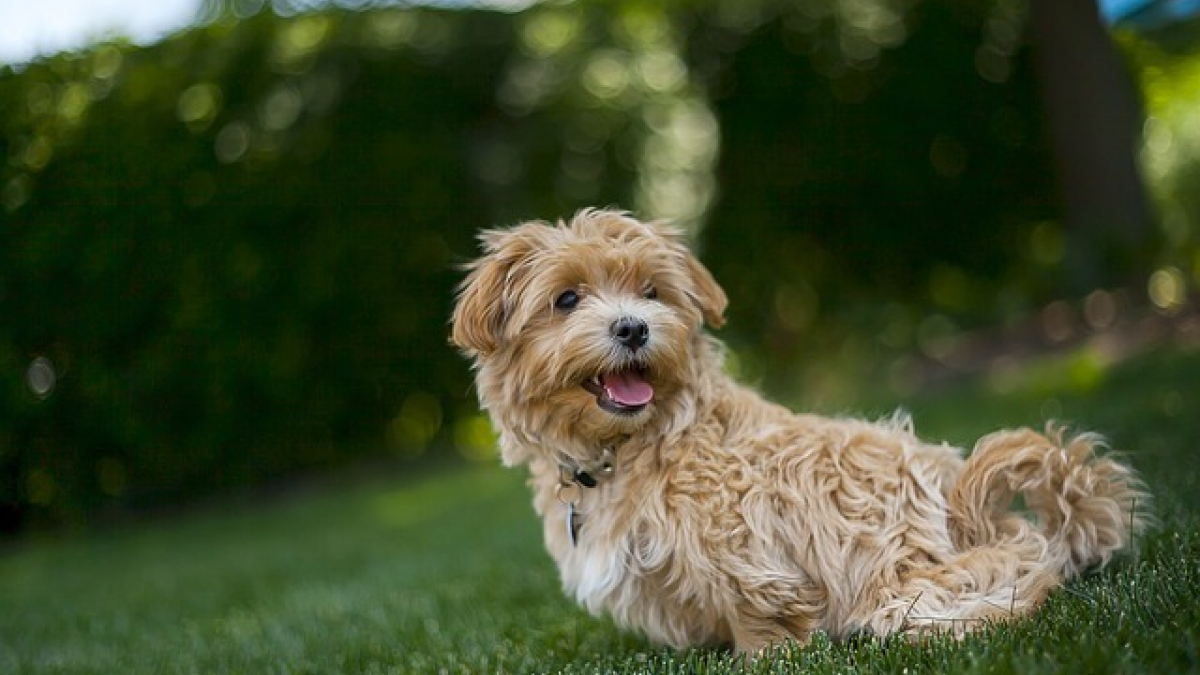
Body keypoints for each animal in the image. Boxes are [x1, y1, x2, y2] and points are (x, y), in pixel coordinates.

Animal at [451, 206, 1152, 653]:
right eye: (566, 299)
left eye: (651, 291)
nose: (633, 327)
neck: (635, 444)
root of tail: (963, 503)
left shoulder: (740, 544)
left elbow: (760, 609)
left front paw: (763, 654)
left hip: (906, 582)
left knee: (1023, 573)